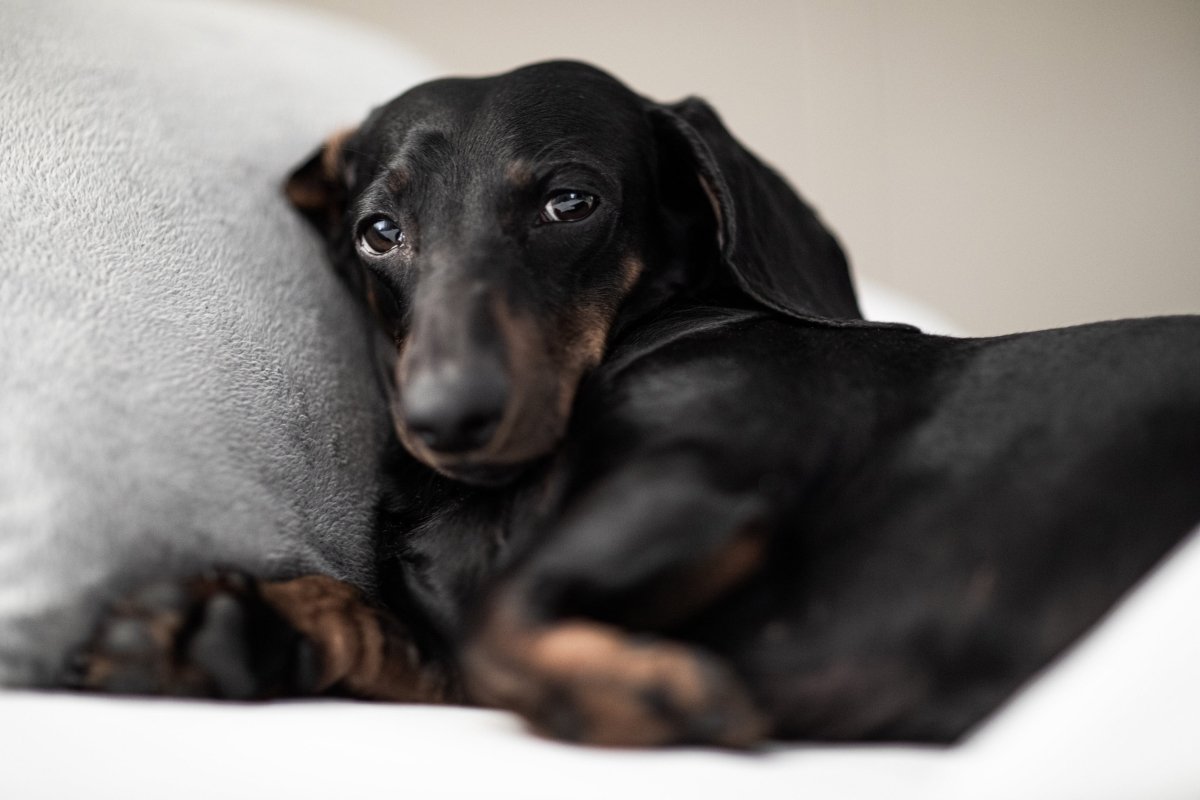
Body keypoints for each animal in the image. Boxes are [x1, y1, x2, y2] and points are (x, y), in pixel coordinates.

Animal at [68, 62, 1200, 753]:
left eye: (571, 201)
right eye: (376, 231)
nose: (446, 418)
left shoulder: (704, 470)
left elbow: (499, 619)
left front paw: (652, 694)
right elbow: (413, 631)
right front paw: (218, 625)